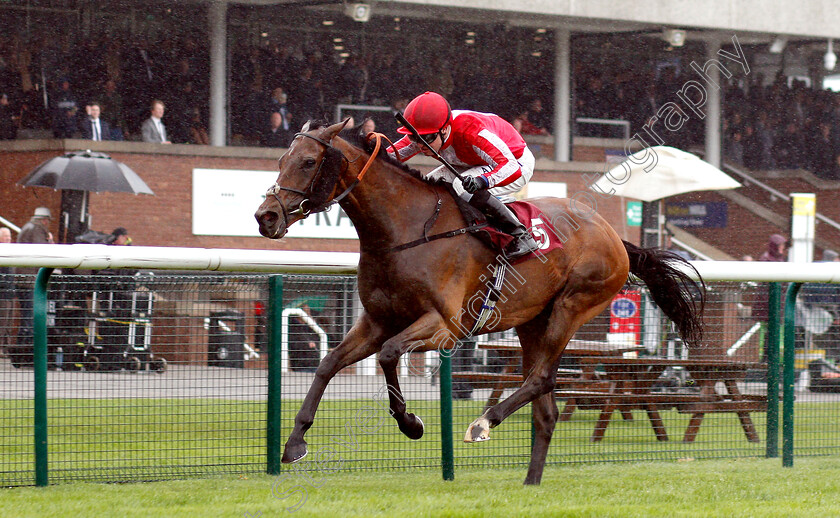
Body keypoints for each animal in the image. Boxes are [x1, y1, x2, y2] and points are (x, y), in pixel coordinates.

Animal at [254, 122, 704, 488]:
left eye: (308, 162)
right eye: (281, 160)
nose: (266, 216)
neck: (403, 232)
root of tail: (615, 236)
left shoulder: (444, 326)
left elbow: (389, 354)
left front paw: (411, 424)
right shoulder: (377, 321)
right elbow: (329, 364)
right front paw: (295, 443)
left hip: (573, 306)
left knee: (542, 379)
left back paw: (485, 422)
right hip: (532, 322)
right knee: (545, 408)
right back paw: (530, 482)